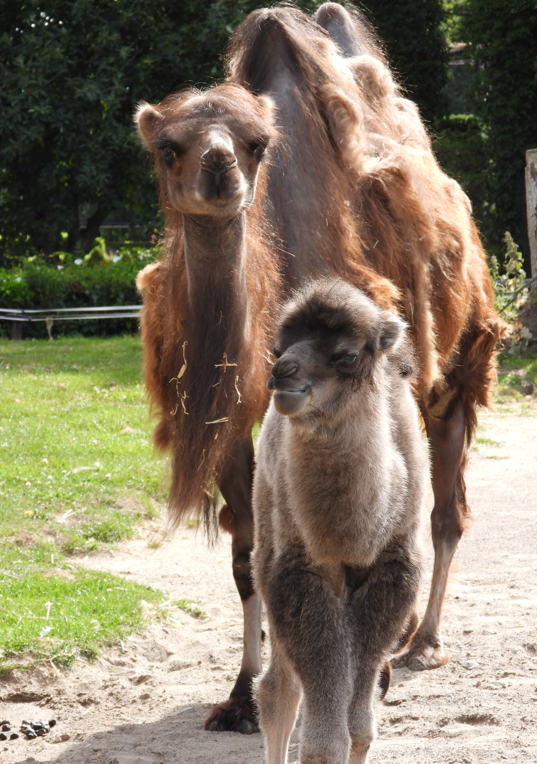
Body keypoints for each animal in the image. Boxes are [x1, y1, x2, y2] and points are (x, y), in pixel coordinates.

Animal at [253, 277, 427, 764]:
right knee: (277, 690)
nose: (283, 373)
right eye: (277, 348)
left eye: (346, 356)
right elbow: (324, 739)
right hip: (265, 546)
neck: (355, 536)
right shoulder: (301, 569)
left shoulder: (394, 568)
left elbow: (361, 724)